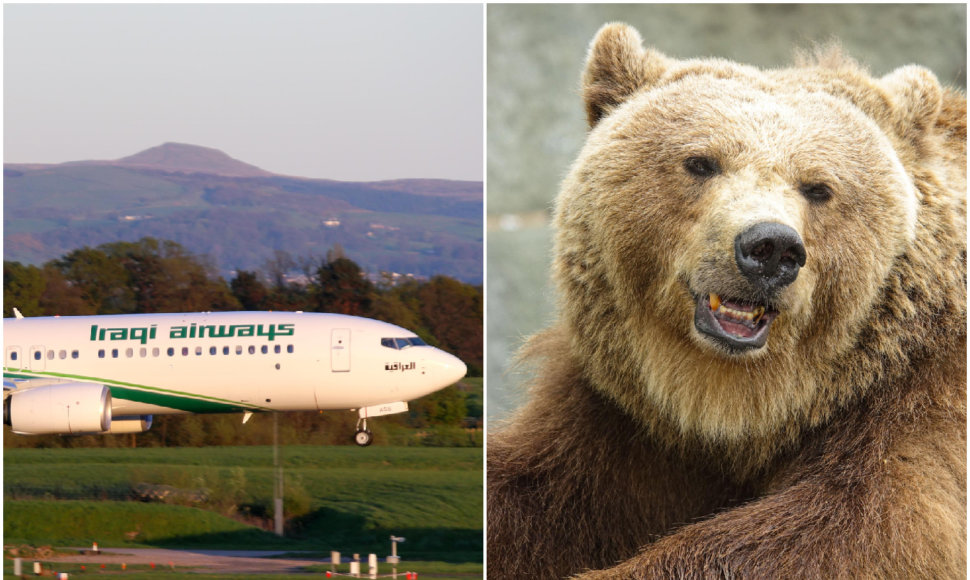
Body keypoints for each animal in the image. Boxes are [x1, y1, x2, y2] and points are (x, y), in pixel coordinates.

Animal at [488, 22, 964, 580]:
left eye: (819, 187)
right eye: (700, 162)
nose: (771, 247)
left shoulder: (918, 403)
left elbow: (860, 529)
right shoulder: (620, 424)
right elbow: (532, 491)